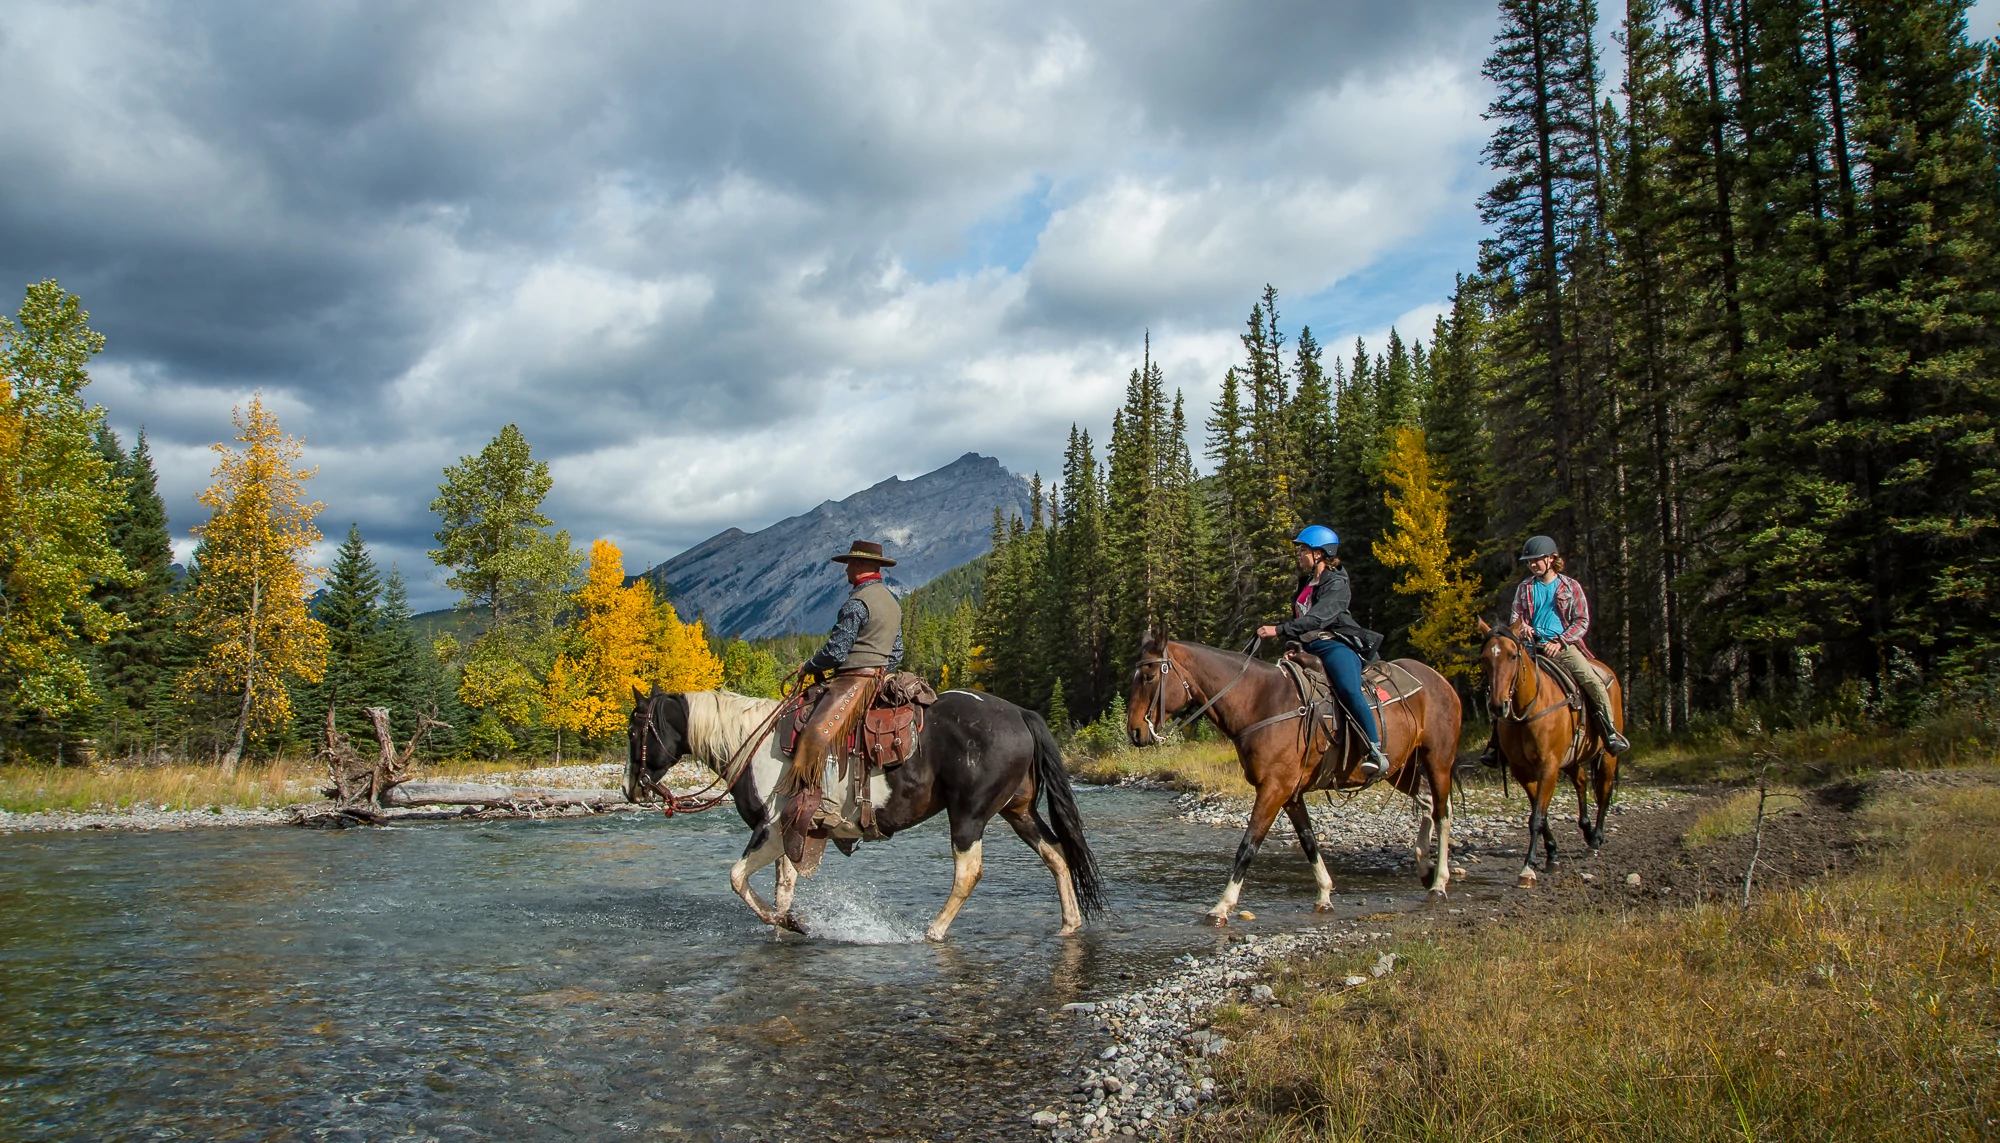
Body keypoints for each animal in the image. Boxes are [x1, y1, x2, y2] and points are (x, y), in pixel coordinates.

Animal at [620, 683, 1104, 943]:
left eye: (633, 729)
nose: (629, 788)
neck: (751, 743)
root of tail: (1020, 714)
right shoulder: (790, 836)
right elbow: (783, 889)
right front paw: (784, 926)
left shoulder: (772, 829)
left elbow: (738, 878)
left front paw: (790, 924)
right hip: (1017, 812)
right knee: (1057, 854)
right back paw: (1069, 924)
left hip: (968, 816)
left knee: (968, 873)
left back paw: (932, 932)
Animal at [1128, 635, 1472, 919]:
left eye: (1148, 676)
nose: (1134, 732)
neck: (1260, 703)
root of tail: (1441, 681)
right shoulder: (1291, 794)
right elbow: (1308, 841)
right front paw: (1325, 895)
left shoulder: (1273, 789)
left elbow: (1247, 847)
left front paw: (1222, 907)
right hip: (1400, 768)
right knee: (1428, 802)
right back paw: (1424, 866)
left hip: (1438, 759)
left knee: (1442, 812)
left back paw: (1439, 883)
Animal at [1472, 619, 1624, 887]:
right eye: (1484, 658)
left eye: (1513, 655)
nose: (1498, 706)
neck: (1528, 711)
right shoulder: (1522, 771)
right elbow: (1539, 815)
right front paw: (1552, 854)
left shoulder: (1549, 767)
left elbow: (1536, 818)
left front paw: (1528, 867)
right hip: (1572, 760)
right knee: (1581, 782)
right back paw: (1586, 830)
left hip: (1607, 756)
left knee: (1604, 792)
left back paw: (1595, 840)